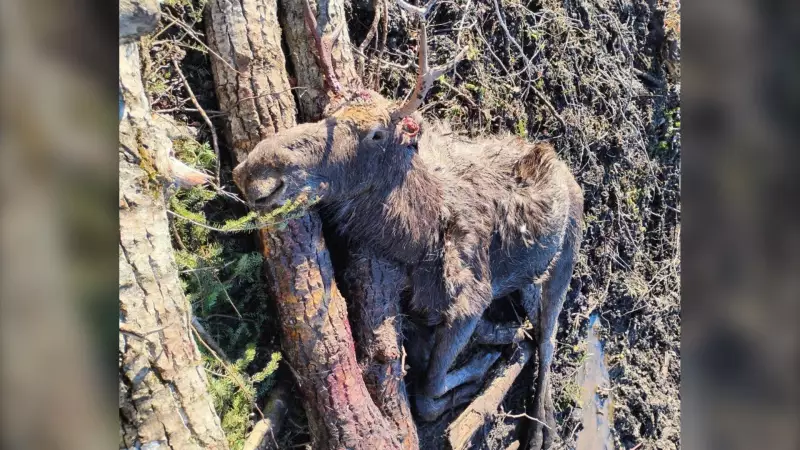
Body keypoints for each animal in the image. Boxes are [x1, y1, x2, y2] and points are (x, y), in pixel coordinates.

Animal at [233, 1, 583, 448]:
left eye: (377, 134)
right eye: (326, 112)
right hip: (529, 281)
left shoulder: (472, 298)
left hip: (566, 258)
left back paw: (539, 426)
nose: (258, 169)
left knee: (549, 341)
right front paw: (493, 344)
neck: (414, 237)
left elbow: (429, 391)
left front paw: (478, 373)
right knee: (532, 325)